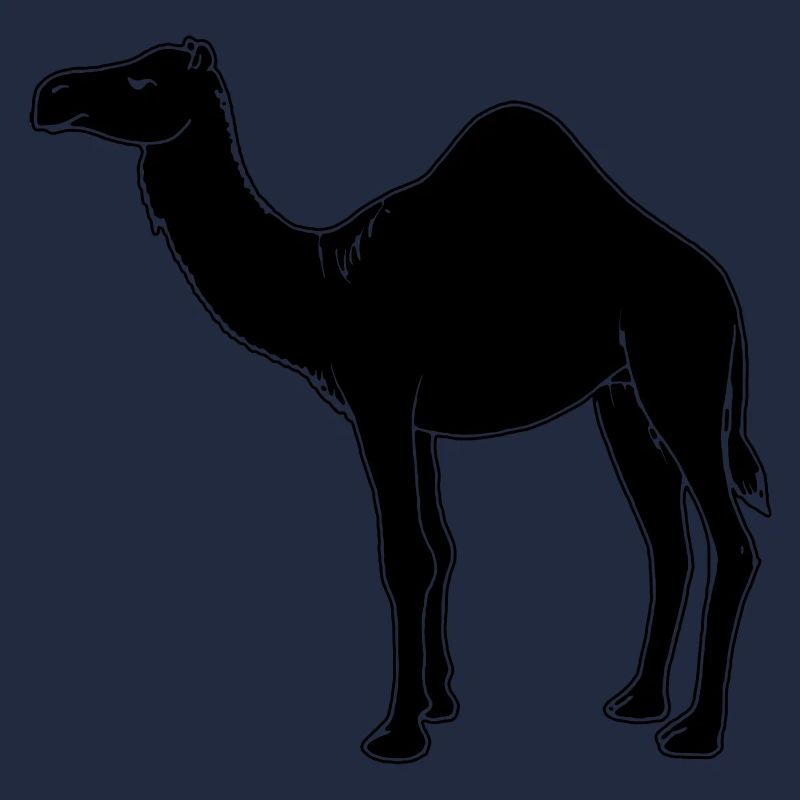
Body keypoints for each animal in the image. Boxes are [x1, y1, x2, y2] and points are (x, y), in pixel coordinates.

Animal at [31, 37, 770, 763]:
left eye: (143, 81)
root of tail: (724, 292)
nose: (49, 96)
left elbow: (406, 556)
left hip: (679, 377)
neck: (322, 284)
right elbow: (441, 547)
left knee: (730, 542)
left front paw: (397, 731)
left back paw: (697, 731)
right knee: (667, 542)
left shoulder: (379, 397)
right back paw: (639, 701)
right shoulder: (418, 422)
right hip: (621, 397)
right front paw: (438, 702)